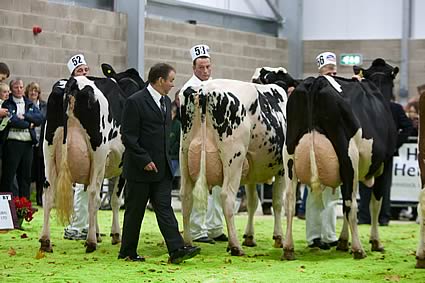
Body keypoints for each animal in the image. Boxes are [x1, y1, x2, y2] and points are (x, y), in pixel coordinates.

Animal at [39, 65, 146, 255]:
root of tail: (73, 82)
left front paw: (98, 232)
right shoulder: (122, 163)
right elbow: (115, 200)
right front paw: (114, 234)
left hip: (49, 150)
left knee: (48, 193)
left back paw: (46, 241)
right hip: (98, 151)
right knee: (93, 195)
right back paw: (90, 242)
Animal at [179, 77, 294, 258]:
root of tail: (204, 89)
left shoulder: (251, 173)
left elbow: (253, 202)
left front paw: (249, 237)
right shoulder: (281, 168)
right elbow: (277, 203)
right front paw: (278, 238)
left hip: (184, 154)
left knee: (186, 196)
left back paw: (188, 243)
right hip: (234, 158)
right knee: (227, 197)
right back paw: (235, 246)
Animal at [280, 74, 396, 260]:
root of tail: (317, 81)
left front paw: (342, 241)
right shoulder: (384, 165)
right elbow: (375, 204)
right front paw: (376, 242)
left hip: (289, 153)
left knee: (290, 202)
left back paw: (288, 248)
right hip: (349, 155)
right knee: (350, 203)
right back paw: (358, 249)